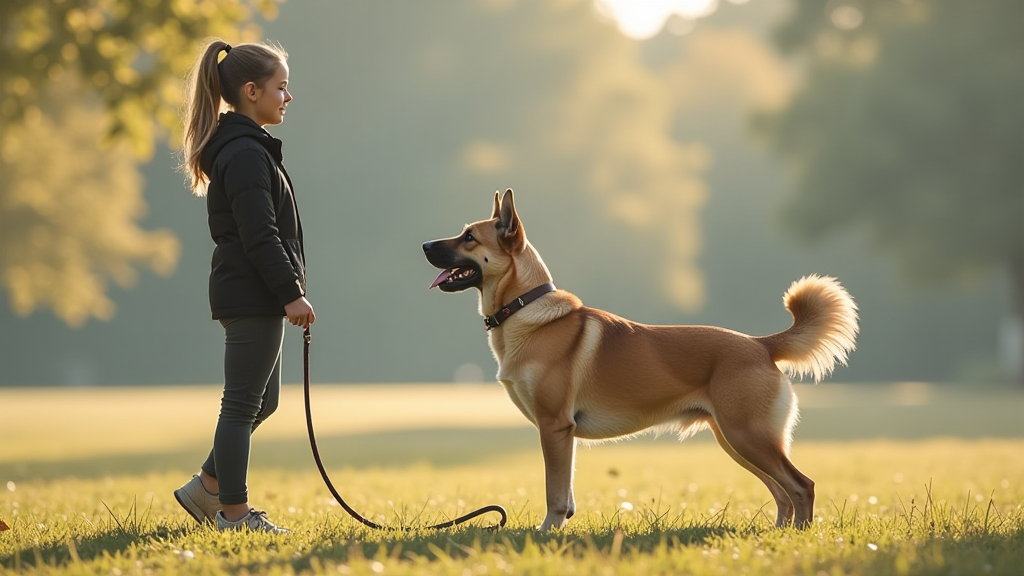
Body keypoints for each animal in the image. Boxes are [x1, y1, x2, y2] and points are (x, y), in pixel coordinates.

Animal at [419, 188, 860, 528]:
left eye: (469, 238)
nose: (423, 245)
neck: (525, 309)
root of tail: (760, 344)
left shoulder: (554, 426)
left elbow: (554, 494)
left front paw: (546, 534)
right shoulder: (564, 434)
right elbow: (567, 493)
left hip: (748, 436)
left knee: (801, 486)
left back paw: (798, 535)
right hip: (737, 439)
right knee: (783, 491)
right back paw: (780, 534)